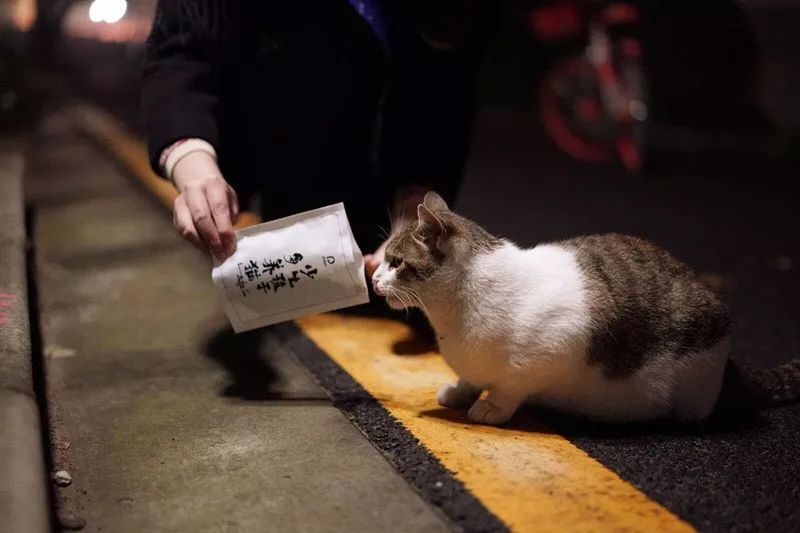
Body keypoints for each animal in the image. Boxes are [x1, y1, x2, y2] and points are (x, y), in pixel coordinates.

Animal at [370, 191, 800, 424]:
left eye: (396, 262)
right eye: (385, 259)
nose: (374, 279)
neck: (452, 313)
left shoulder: (550, 350)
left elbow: (509, 388)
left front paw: (490, 408)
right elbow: (472, 378)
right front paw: (461, 392)